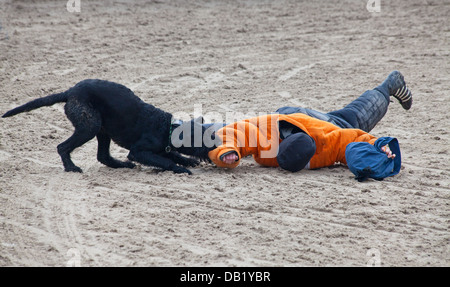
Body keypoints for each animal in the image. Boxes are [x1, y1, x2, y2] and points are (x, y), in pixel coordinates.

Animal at [1, 79, 214, 174]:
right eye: (203, 140)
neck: (167, 128)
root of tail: (70, 92)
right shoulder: (139, 151)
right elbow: (166, 161)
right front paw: (181, 169)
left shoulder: (161, 149)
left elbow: (174, 155)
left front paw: (188, 161)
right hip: (89, 127)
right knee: (62, 147)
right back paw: (71, 167)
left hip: (102, 131)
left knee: (103, 156)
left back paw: (122, 165)